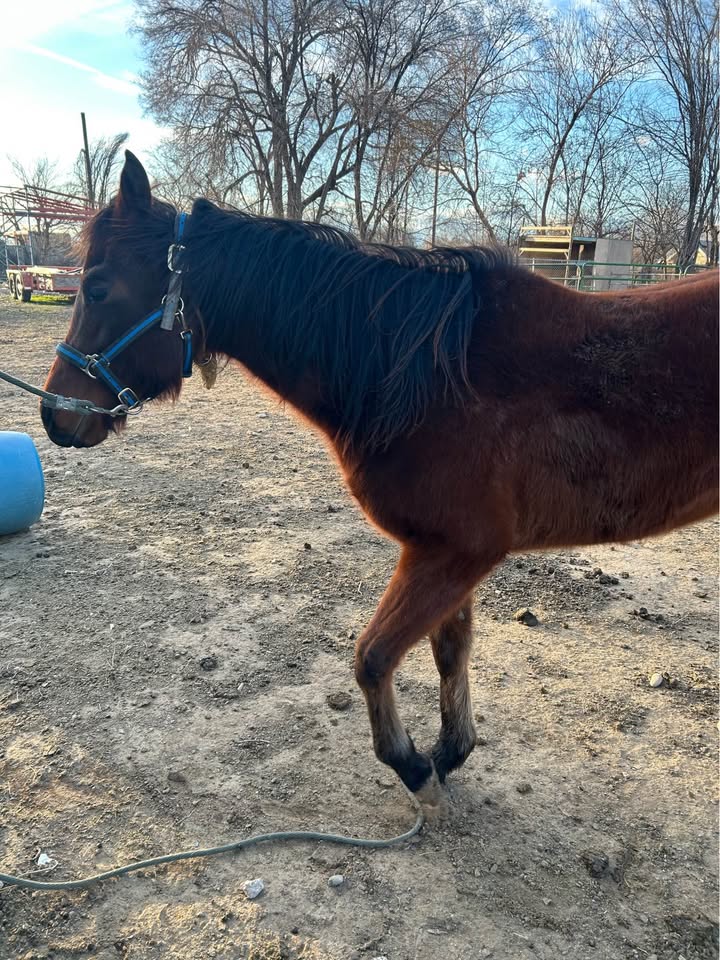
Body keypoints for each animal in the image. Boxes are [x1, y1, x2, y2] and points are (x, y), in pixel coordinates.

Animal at [41, 152, 719, 805]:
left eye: (97, 289)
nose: (55, 415)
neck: (429, 373)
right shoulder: (446, 556)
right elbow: (449, 651)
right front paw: (450, 751)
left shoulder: (453, 553)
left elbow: (373, 658)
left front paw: (413, 767)